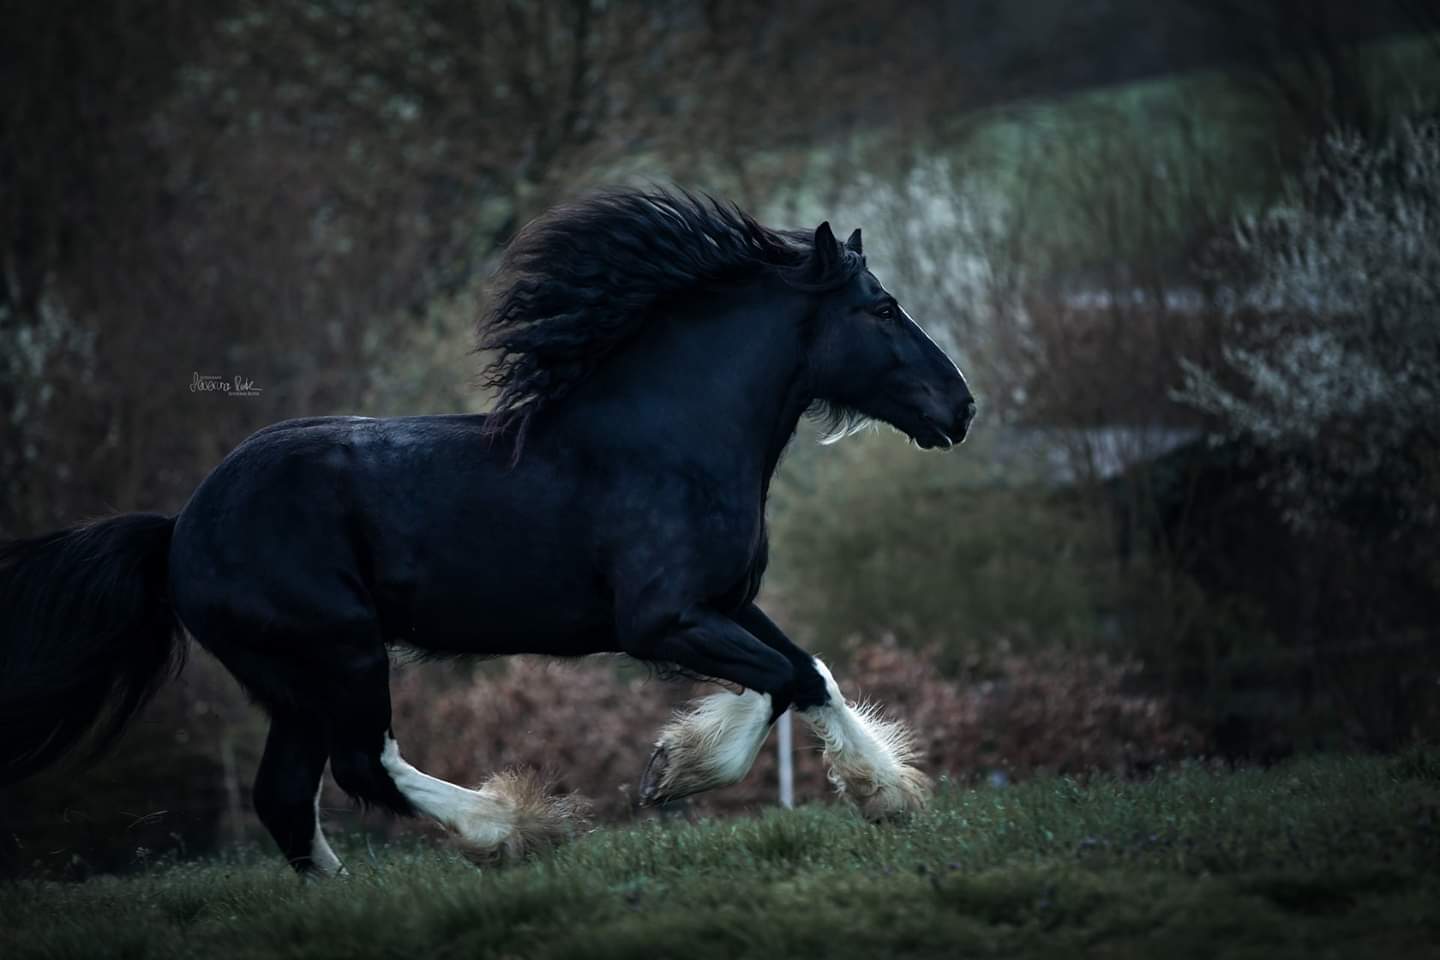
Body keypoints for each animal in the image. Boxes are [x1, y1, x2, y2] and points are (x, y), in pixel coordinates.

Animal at [0, 191, 973, 875]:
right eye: (882, 309)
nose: (961, 408)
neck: (669, 439)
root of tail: (178, 531)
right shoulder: (662, 621)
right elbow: (779, 679)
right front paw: (676, 775)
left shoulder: (724, 604)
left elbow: (803, 672)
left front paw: (877, 793)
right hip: (339, 650)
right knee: (361, 765)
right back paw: (514, 829)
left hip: (291, 680)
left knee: (285, 797)